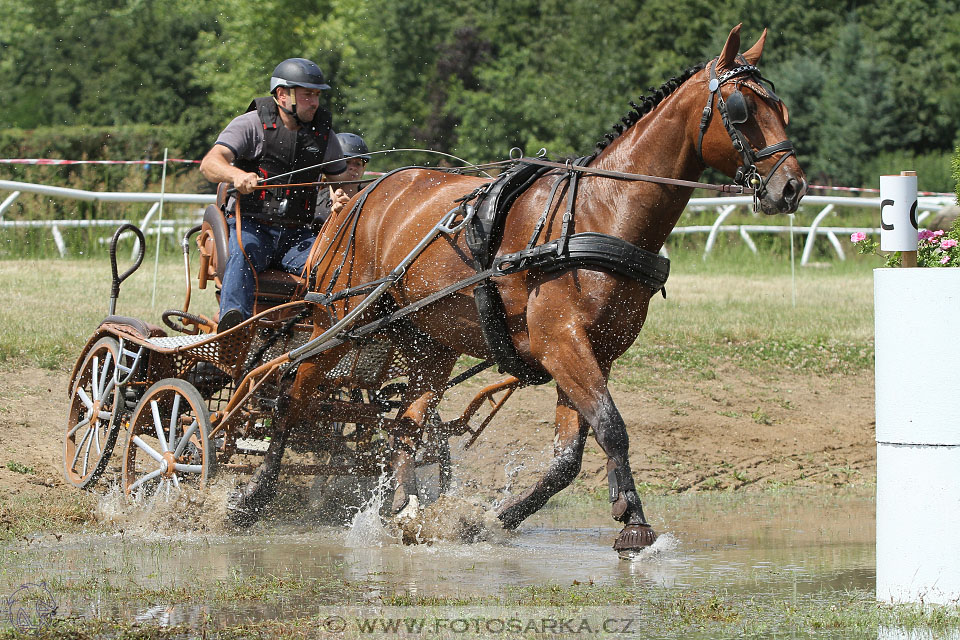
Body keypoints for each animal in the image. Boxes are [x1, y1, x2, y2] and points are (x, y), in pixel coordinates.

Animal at [231, 25, 804, 552]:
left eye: (780, 107)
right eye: (740, 110)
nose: (792, 187)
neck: (598, 213)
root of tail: (357, 195)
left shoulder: (594, 352)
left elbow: (568, 458)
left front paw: (492, 518)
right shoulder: (562, 342)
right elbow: (611, 426)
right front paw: (634, 523)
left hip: (427, 340)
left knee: (407, 423)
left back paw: (403, 511)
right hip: (341, 321)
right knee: (291, 393)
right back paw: (253, 499)